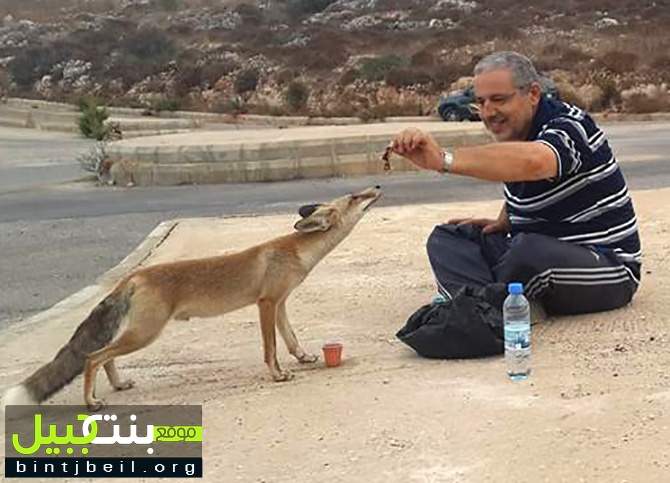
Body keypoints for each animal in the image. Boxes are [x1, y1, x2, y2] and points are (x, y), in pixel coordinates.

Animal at [2, 187, 384, 410]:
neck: (295, 253)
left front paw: (304, 358)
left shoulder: (279, 303)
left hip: (137, 333)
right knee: (92, 357)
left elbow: (290, 340)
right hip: (146, 333)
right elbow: (271, 348)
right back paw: (91, 401)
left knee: (104, 357)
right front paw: (277, 375)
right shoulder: (265, 304)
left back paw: (118, 385)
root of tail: (133, 275)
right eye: (354, 197)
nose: (376, 187)